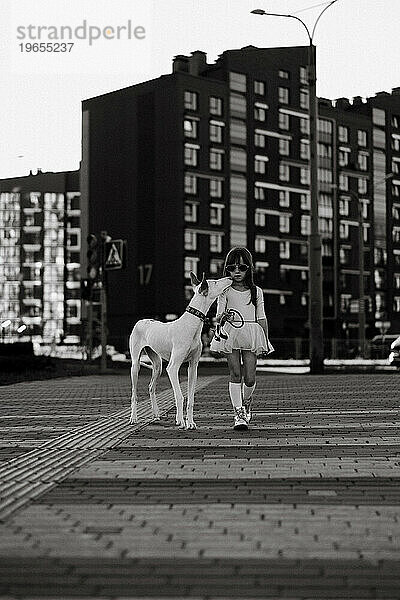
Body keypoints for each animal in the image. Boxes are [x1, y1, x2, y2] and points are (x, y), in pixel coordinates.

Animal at [130, 272, 233, 426]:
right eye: (215, 282)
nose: (231, 277)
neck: (191, 325)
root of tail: (141, 321)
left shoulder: (193, 367)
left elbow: (190, 398)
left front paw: (190, 422)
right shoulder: (173, 368)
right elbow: (179, 396)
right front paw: (180, 421)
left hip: (158, 366)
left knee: (151, 387)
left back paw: (156, 414)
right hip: (135, 365)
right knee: (134, 393)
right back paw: (134, 417)